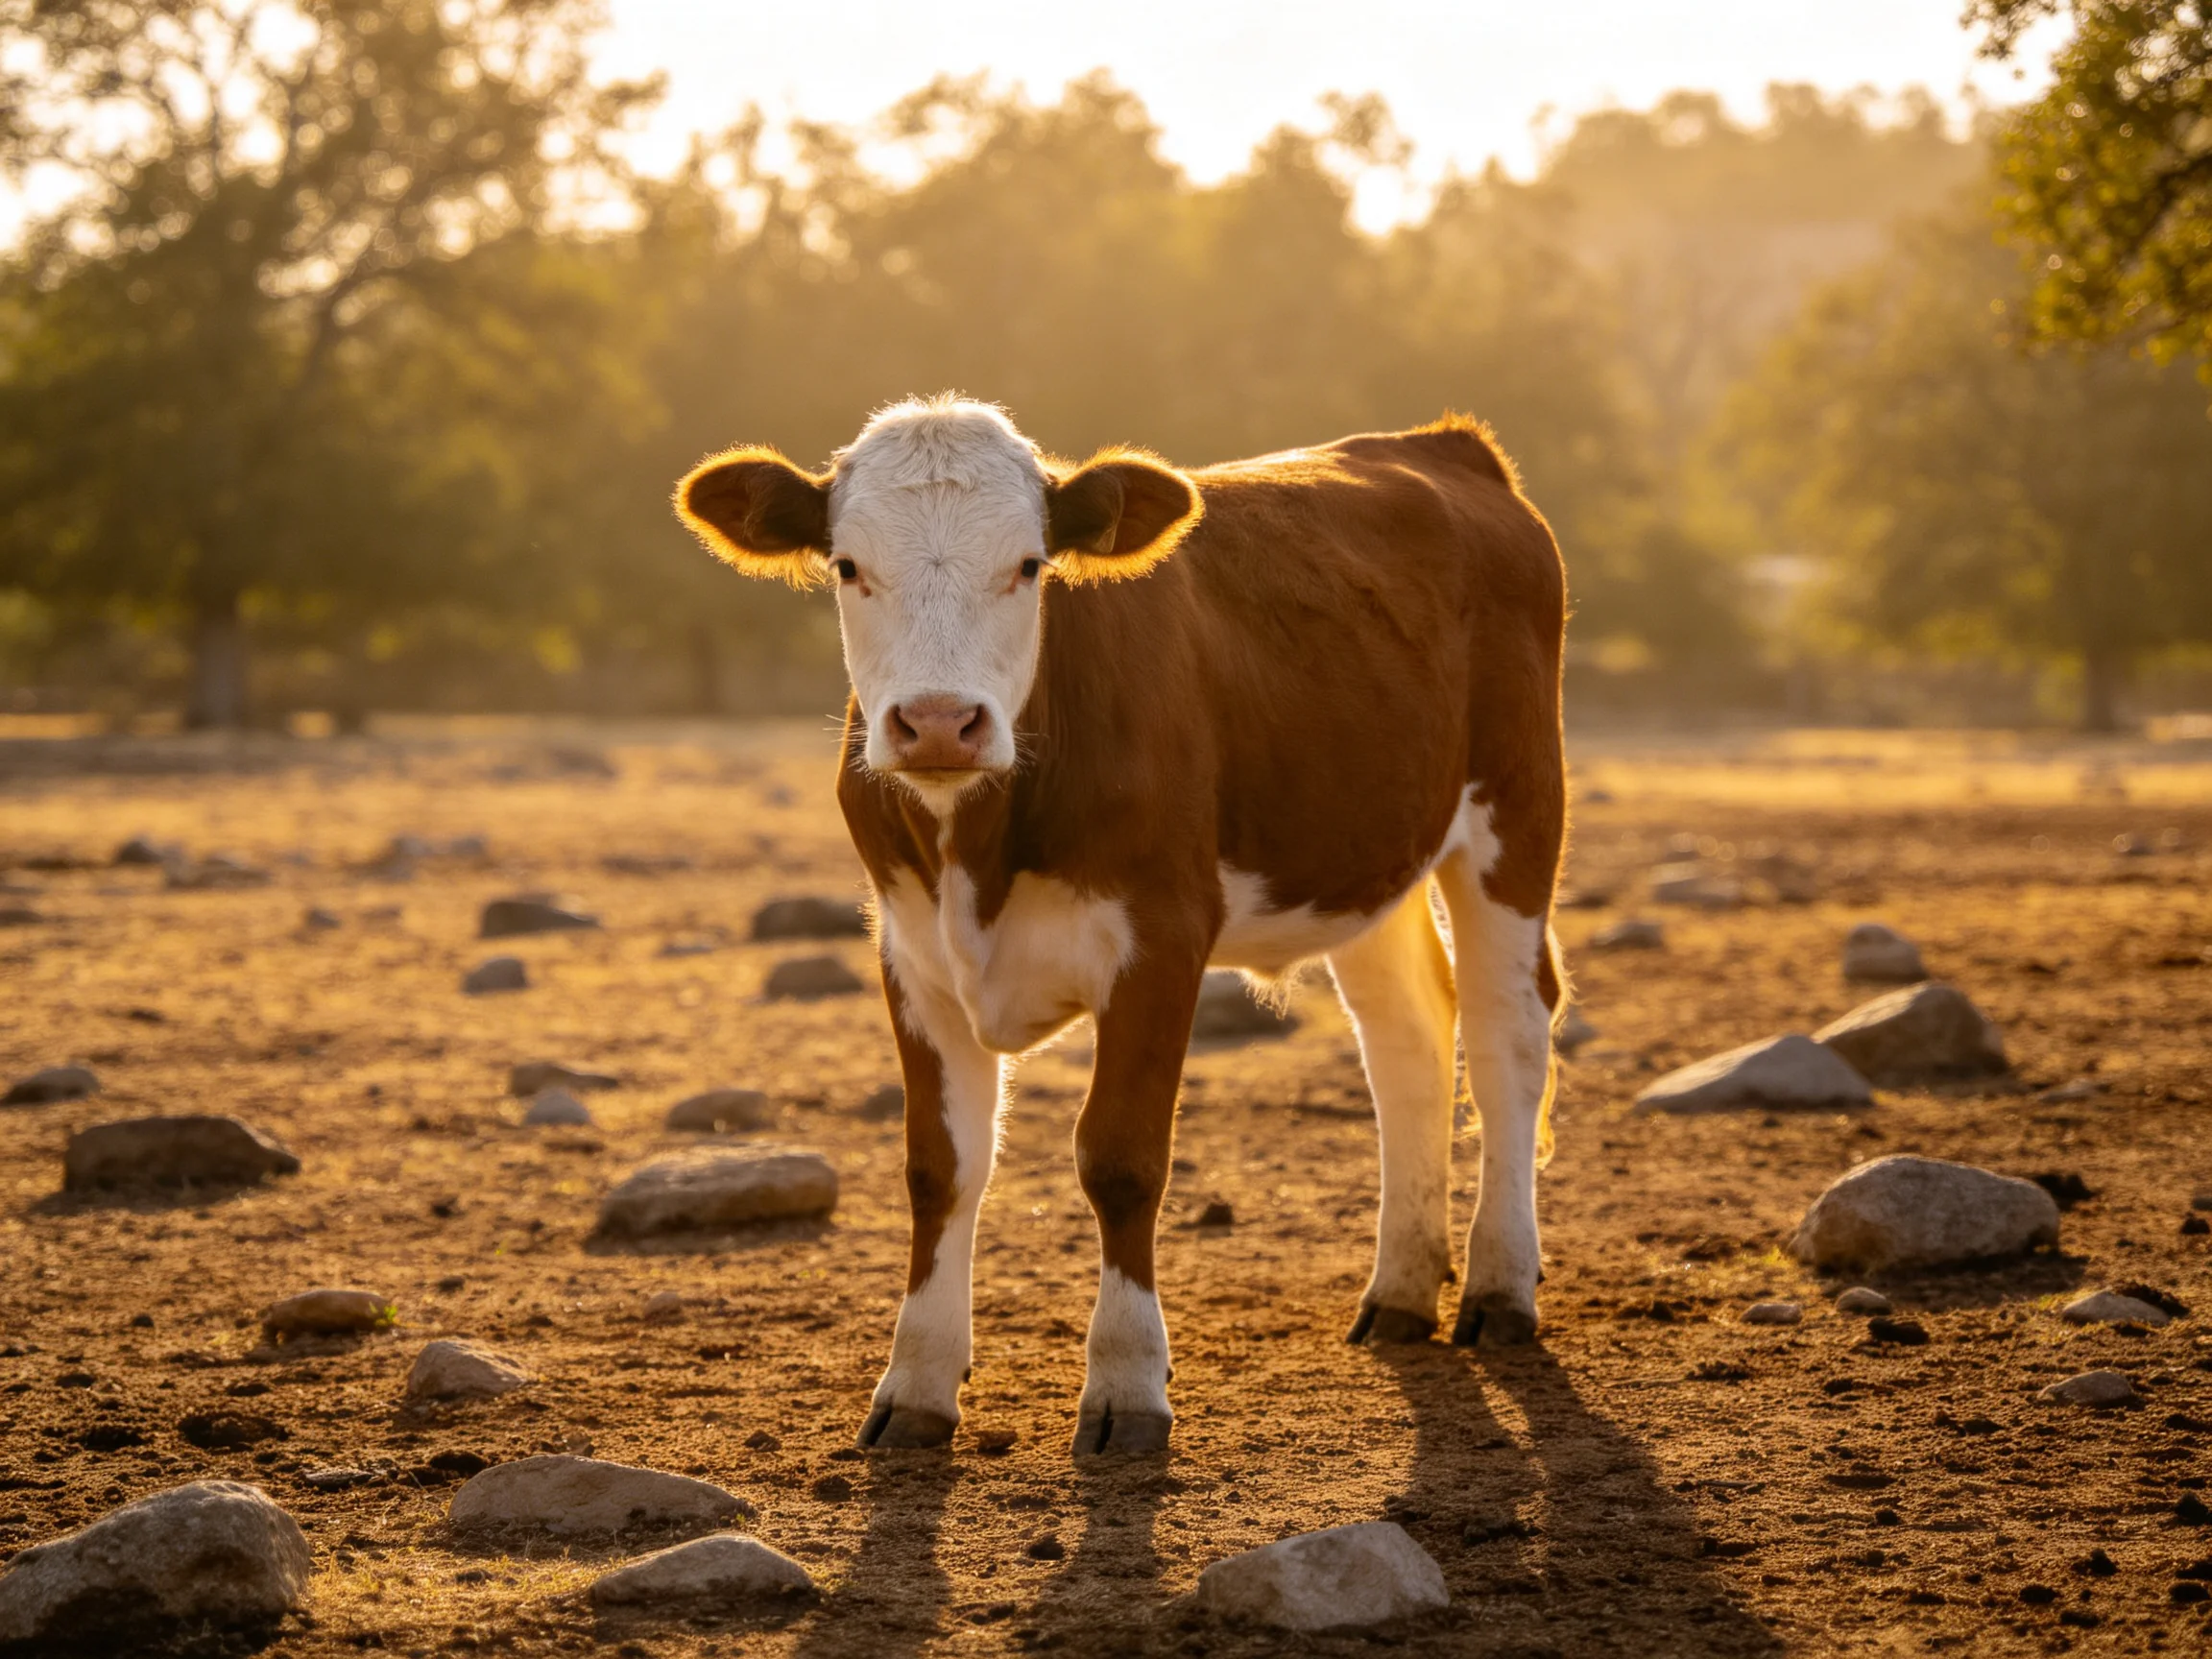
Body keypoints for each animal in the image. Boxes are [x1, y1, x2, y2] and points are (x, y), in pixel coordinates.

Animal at [675, 397, 1566, 1457]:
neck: (981, 842)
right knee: (1408, 1040)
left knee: (1508, 1032)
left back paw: (1500, 1286)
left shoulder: (1164, 936)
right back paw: (1398, 1289)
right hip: (1364, 848)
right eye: (849, 566)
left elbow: (1122, 1157)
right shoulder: (911, 950)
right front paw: (917, 1382)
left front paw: (1127, 1383)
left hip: (1516, 806)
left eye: (1029, 565)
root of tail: (1443, 443)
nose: (936, 723)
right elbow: (940, 1168)